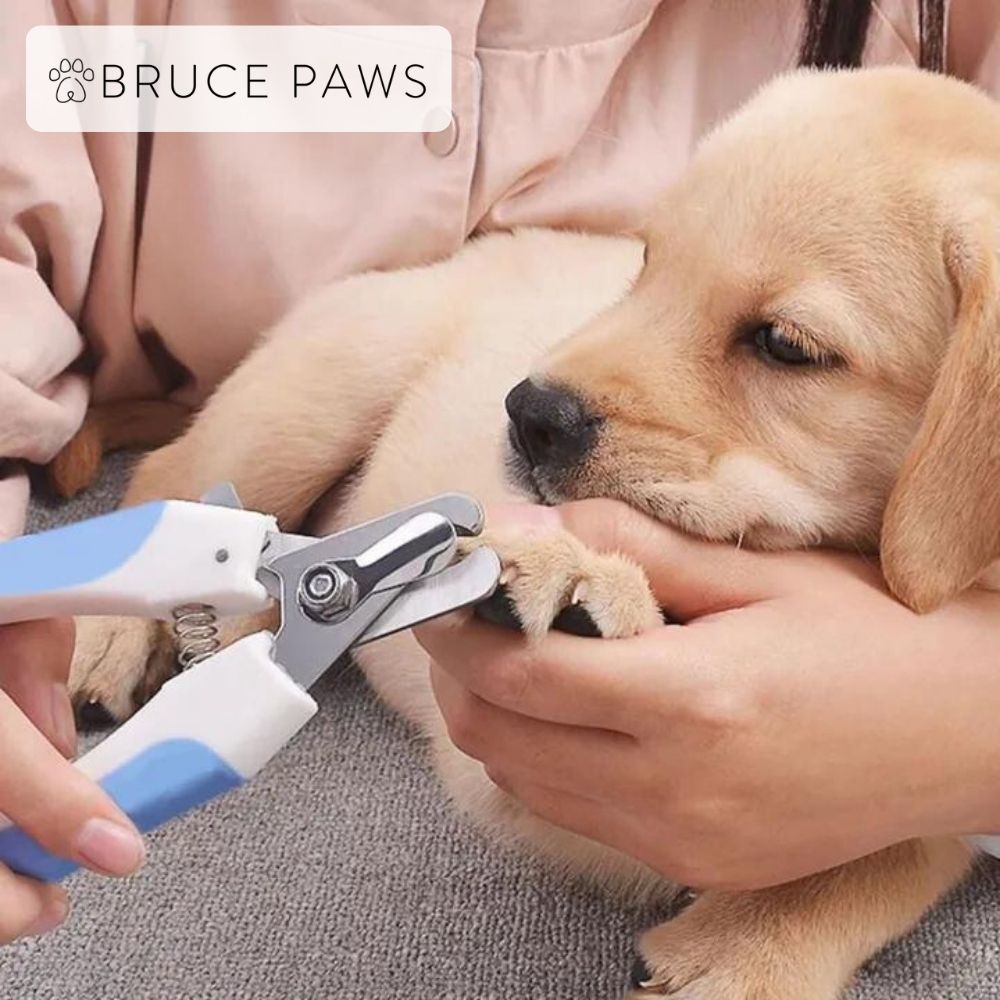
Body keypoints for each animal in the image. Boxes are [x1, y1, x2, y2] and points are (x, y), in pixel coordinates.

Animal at [68, 66, 1000, 996]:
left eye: (784, 345)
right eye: (647, 264)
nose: (528, 412)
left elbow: (892, 854)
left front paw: (749, 951)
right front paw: (584, 579)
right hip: (315, 395)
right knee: (174, 483)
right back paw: (109, 635)